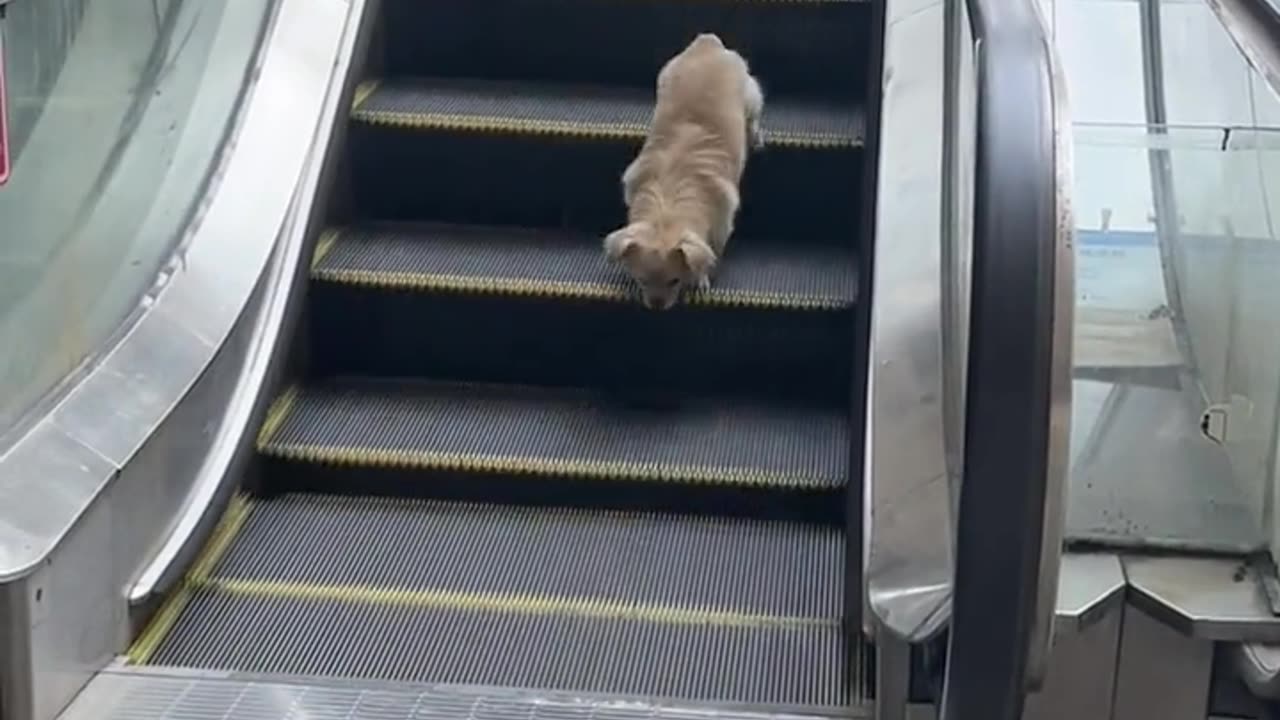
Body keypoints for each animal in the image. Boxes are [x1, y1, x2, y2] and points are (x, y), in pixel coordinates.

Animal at [604, 33, 762, 308]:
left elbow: (711, 253)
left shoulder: (721, 226)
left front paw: (700, 277)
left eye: (674, 281)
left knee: (752, 115)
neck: (667, 203)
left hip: (750, 95)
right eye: (642, 280)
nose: (656, 305)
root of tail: (707, 43)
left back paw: (754, 134)